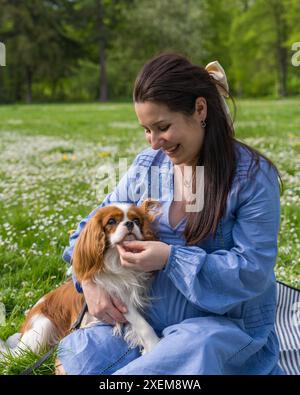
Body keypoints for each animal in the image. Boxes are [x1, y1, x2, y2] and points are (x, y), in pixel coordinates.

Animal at [0, 203, 162, 360]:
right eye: (111, 221)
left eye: (136, 221)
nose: (129, 223)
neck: (116, 259)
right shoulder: (119, 300)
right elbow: (143, 324)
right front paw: (154, 345)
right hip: (41, 328)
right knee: (14, 357)